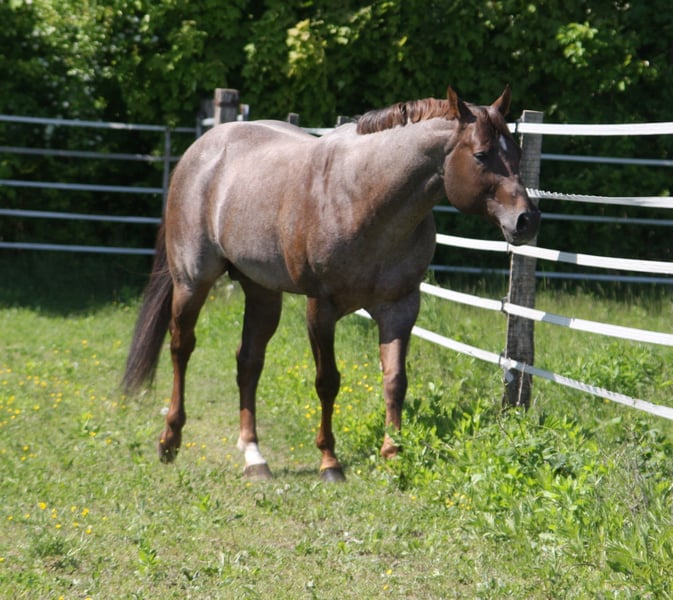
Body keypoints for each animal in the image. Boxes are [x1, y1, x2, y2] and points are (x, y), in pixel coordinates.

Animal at [122, 86, 540, 482]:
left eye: (518, 153)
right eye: (481, 155)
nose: (526, 220)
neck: (366, 199)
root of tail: (200, 151)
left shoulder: (400, 307)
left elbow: (395, 381)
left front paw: (393, 454)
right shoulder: (320, 309)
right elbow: (328, 381)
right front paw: (329, 462)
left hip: (262, 291)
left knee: (248, 362)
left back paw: (254, 458)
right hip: (192, 281)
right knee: (181, 348)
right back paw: (169, 440)